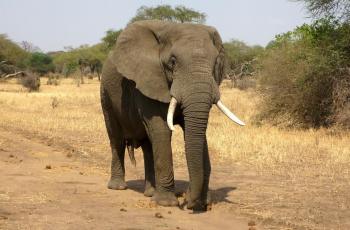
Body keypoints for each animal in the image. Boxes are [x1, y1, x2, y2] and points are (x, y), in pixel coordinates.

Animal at [100, 19, 245, 210]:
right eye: (173, 61)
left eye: (215, 62)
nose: (188, 201)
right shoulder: (148, 79)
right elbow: (162, 130)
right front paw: (166, 203)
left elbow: (194, 132)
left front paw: (200, 202)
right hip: (106, 93)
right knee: (116, 138)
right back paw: (118, 187)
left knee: (148, 145)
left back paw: (150, 193)